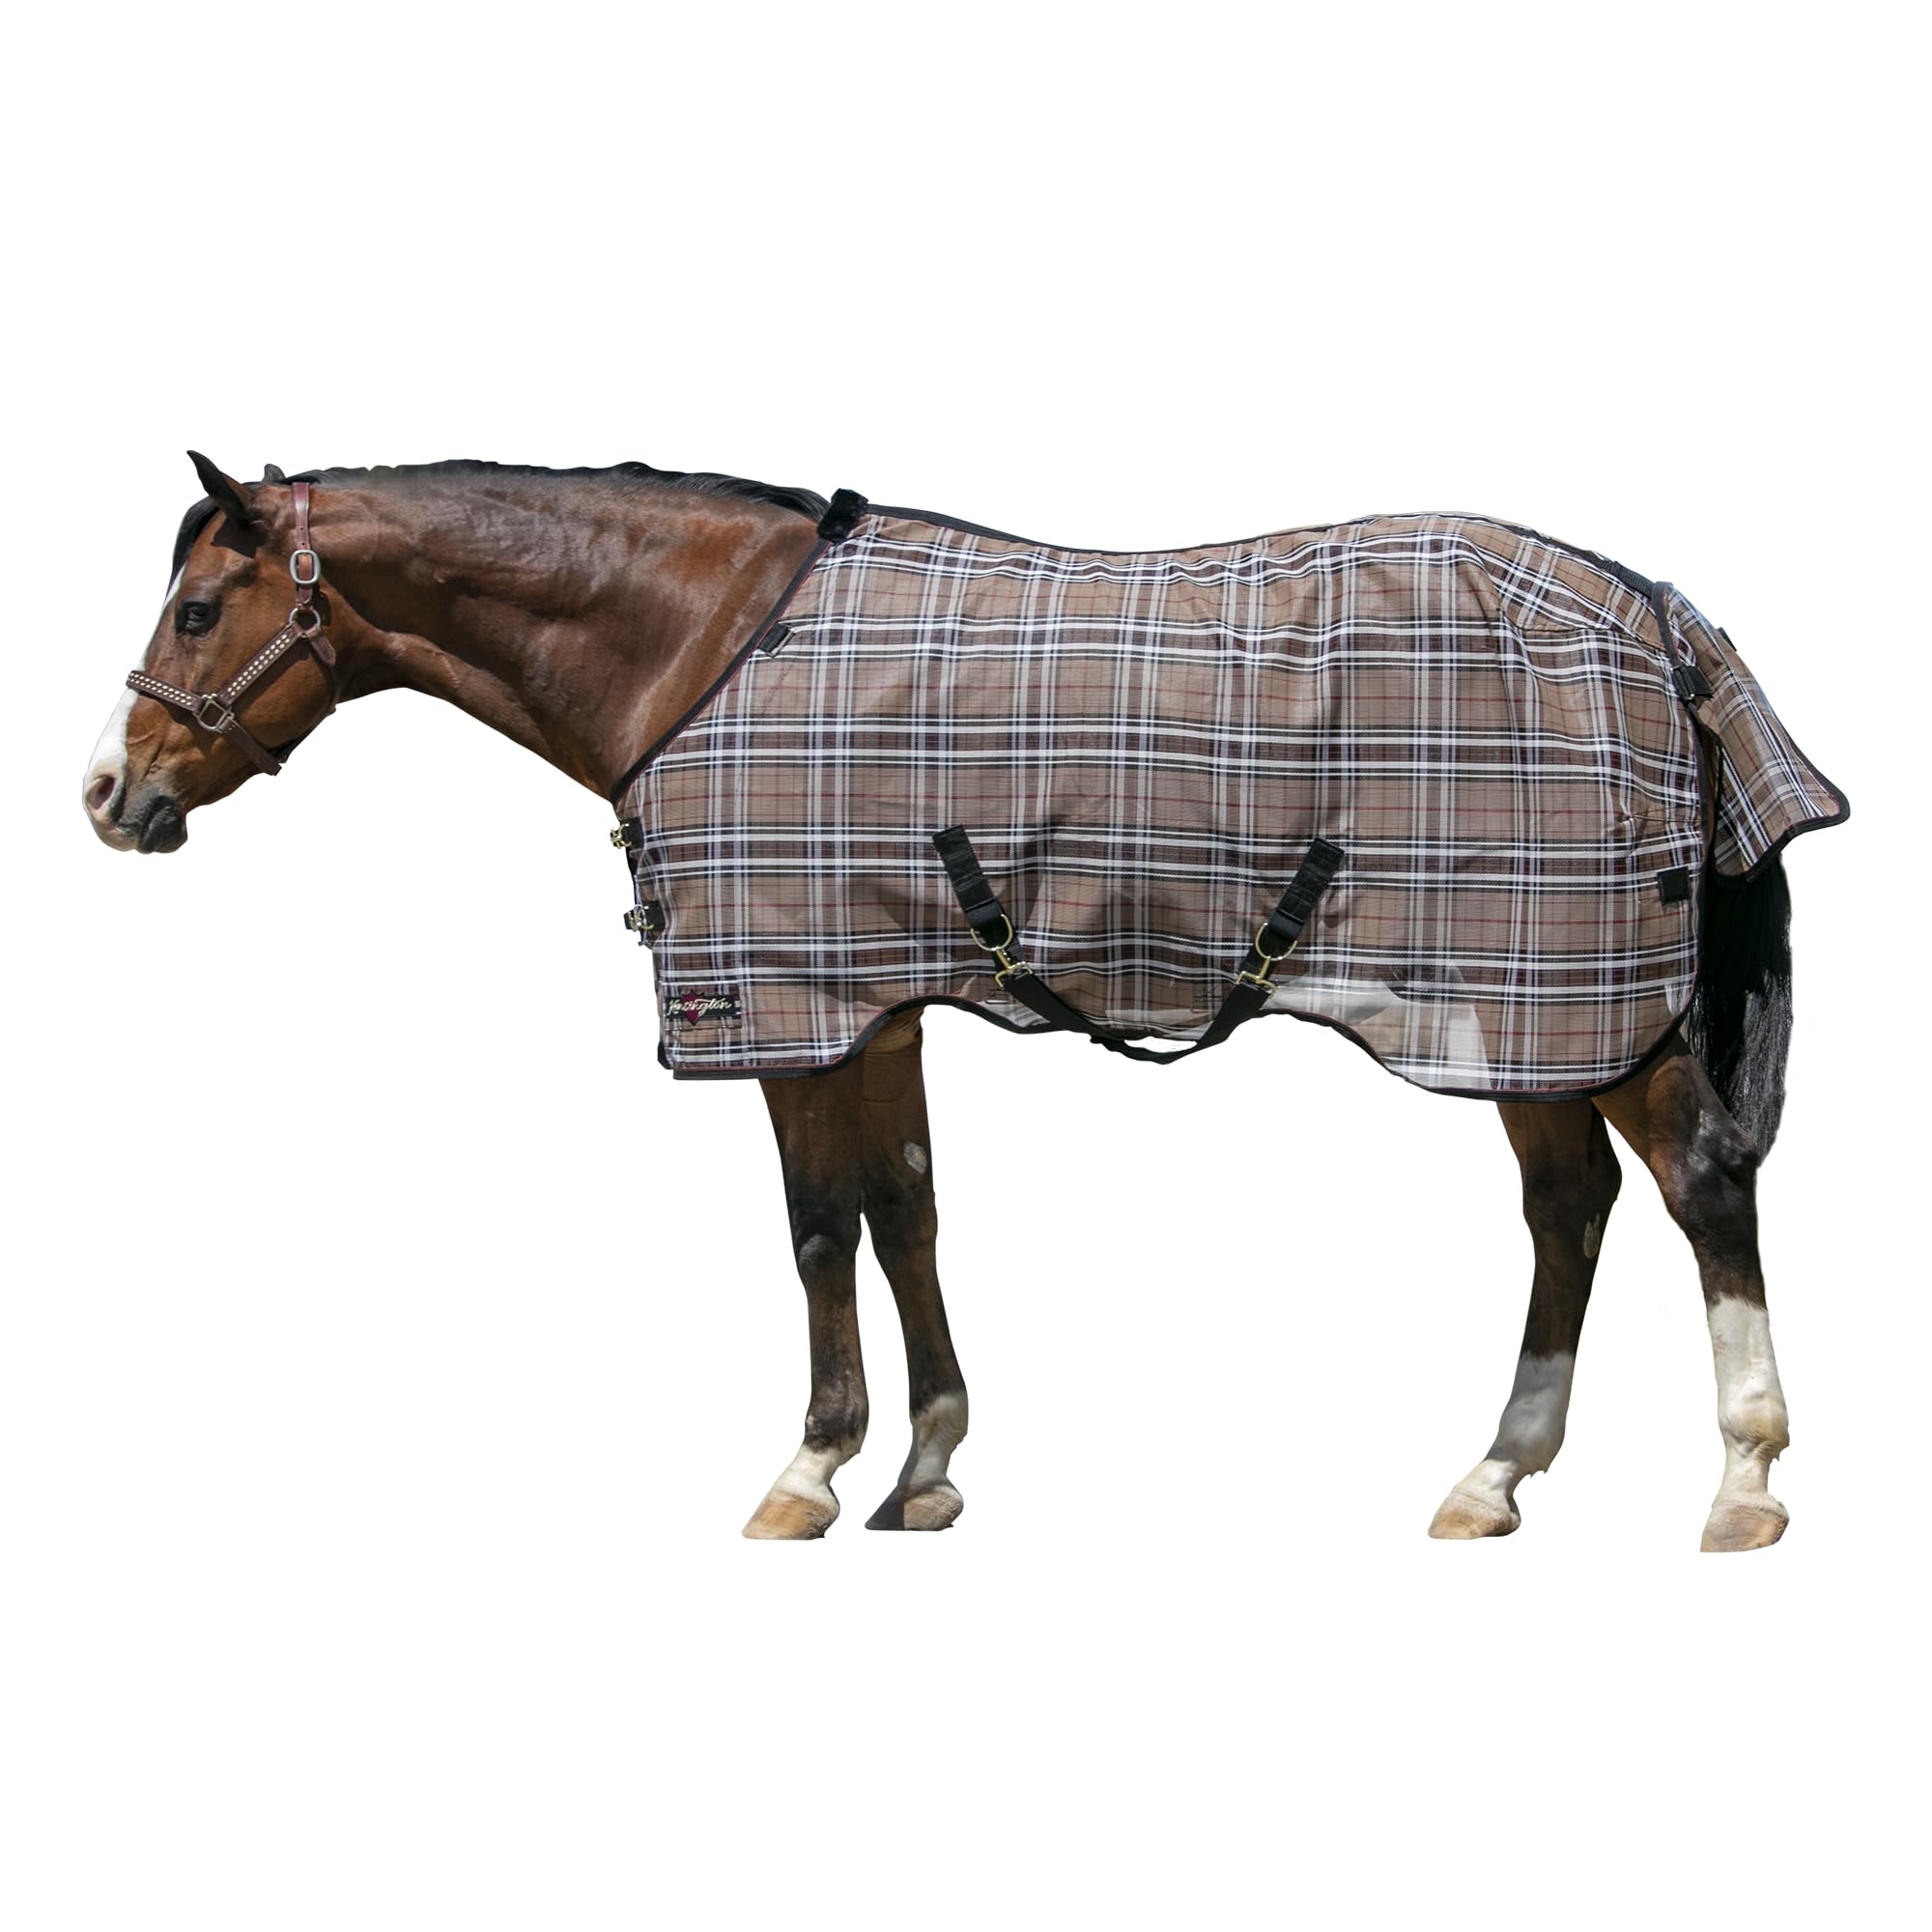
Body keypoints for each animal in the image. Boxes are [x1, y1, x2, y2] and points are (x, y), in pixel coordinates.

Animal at [81, 453, 1847, 1550]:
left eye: (197, 611)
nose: (109, 794)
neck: (706, 648)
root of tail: (1659, 614)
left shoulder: (783, 1008)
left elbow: (817, 1229)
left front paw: (808, 1469)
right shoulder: (876, 1001)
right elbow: (905, 1210)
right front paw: (924, 1467)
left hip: (1576, 999)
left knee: (1697, 1184)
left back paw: (1744, 1484)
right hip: (1527, 1011)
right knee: (1572, 1209)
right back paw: (1494, 1475)